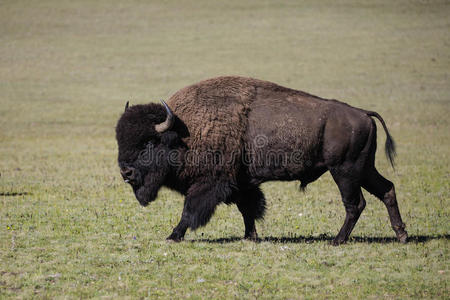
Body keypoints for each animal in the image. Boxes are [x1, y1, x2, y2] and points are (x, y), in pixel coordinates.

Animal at [116, 76, 408, 245]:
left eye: (149, 142)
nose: (126, 172)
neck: (184, 130)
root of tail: (363, 114)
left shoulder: (210, 183)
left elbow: (190, 210)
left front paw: (173, 236)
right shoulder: (241, 184)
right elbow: (248, 209)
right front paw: (251, 237)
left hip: (345, 172)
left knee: (355, 204)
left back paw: (337, 241)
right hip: (364, 169)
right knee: (387, 190)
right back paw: (402, 235)